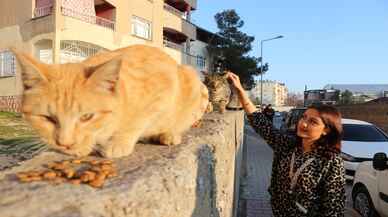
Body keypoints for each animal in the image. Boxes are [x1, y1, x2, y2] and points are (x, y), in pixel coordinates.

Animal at [12, 45, 209, 158]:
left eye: (87, 117)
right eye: (48, 118)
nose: (65, 143)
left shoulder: (163, 88)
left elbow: (139, 121)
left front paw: (118, 143)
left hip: (194, 84)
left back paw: (169, 134)